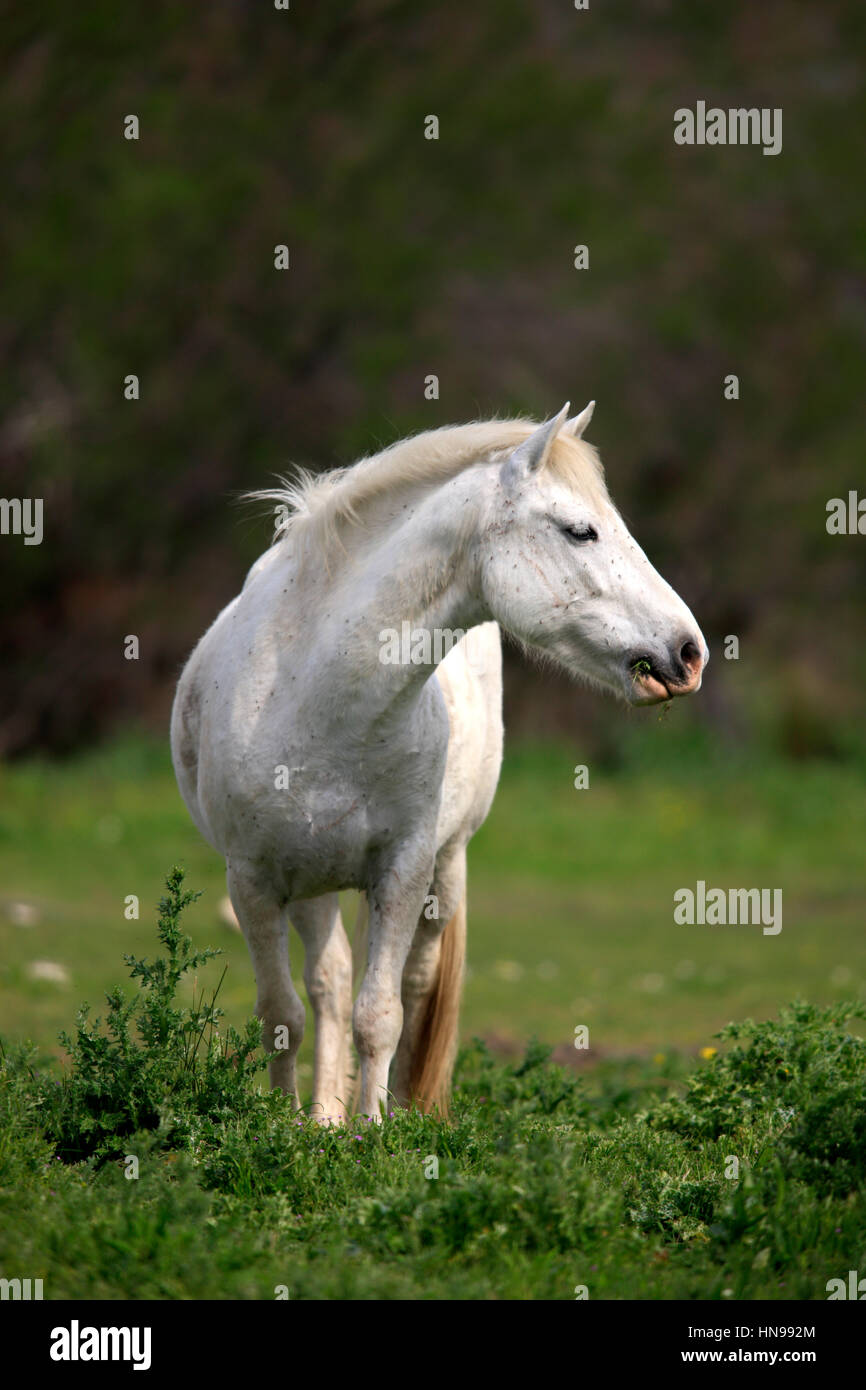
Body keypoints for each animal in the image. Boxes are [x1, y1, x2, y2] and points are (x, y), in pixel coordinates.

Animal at [169, 403, 706, 1117]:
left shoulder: (403, 871)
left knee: (411, 988)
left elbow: (382, 1014)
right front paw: (289, 1127)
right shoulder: (253, 883)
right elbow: (283, 1015)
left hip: (442, 871)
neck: (312, 699)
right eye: (580, 531)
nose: (690, 651)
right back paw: (322, 1119)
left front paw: (373, 1131)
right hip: (310, 885)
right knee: (328, 982)